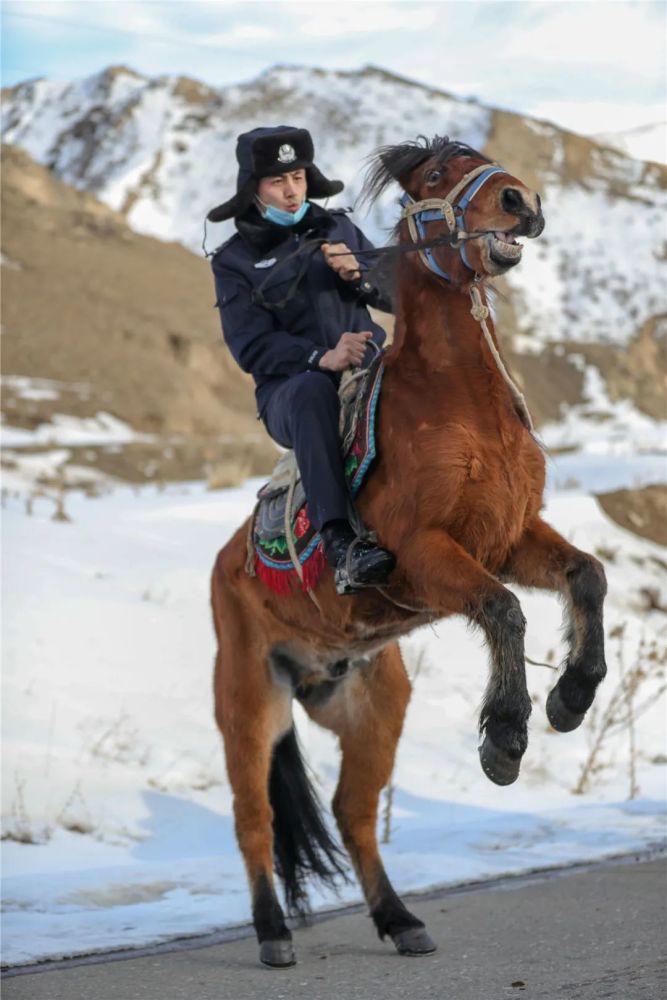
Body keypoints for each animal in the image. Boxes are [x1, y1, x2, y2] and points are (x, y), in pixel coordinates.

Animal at [211, 135, 608, 968]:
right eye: (432, 176)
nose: (519, 202)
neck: (457, 404)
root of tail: (227, 563)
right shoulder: (427, 554)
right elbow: (503, 609)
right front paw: (506, 737)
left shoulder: (510, 536)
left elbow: (585, 578)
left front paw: (570, 697)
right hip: (248, 701)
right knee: (254, 817)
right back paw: (272, 934)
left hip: (370, 708)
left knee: (352, 814)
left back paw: (400, 921)